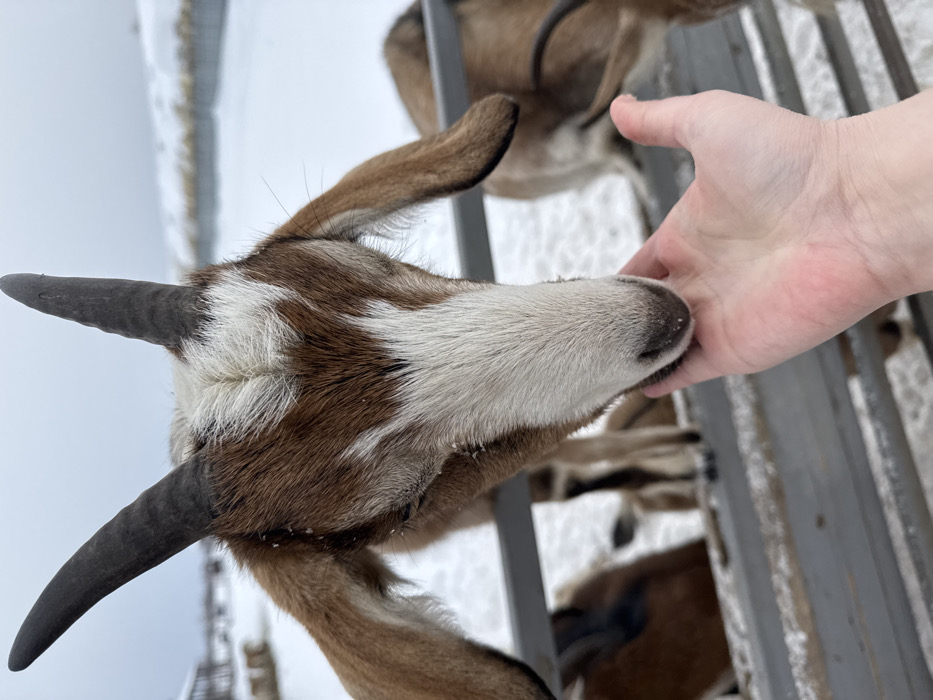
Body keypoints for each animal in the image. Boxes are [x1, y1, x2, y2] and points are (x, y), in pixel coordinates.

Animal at [3, 95, 694, 699]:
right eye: (406, 503)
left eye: (370, 266)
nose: (661, 320)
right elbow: (564, 474)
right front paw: (679, 462)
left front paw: (679, 456)